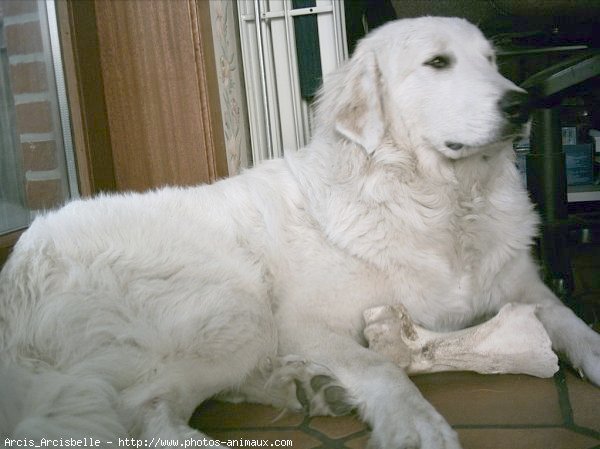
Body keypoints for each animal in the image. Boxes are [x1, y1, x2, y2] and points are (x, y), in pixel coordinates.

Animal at [0, 17, 596, 448]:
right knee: (139, 410)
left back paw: (312, 388)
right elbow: (381, 364)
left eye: (491, 62)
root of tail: (20, 267)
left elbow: (572, 322)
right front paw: (416, 423)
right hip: (239, 309)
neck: (438, 203)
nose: (524, 103)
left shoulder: (525, 287)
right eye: (438, 63)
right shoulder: (303, 322)